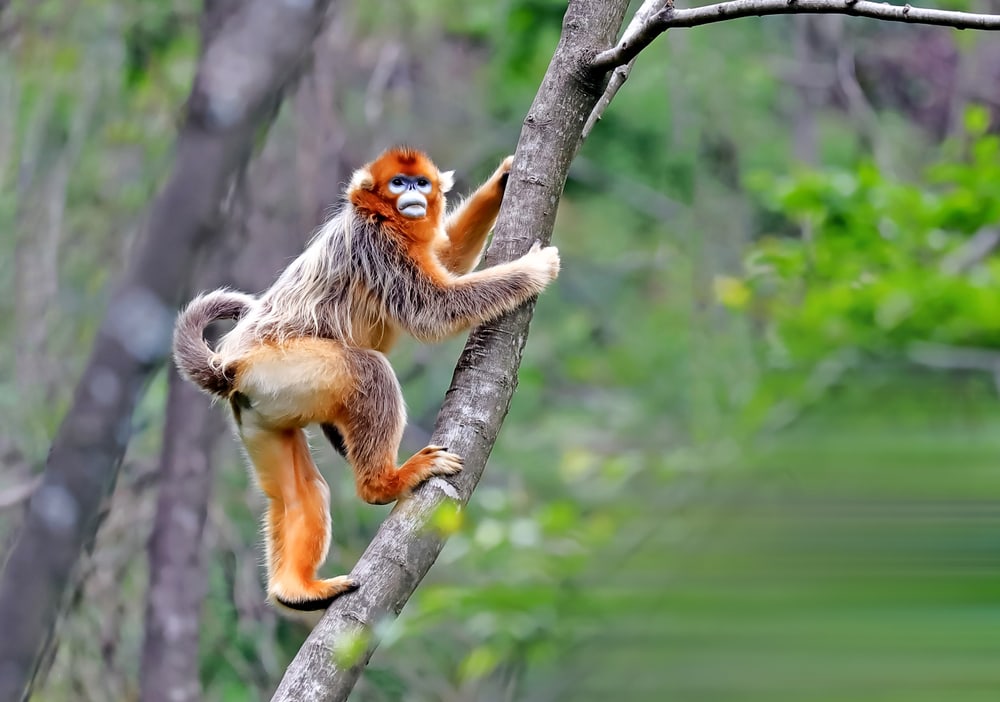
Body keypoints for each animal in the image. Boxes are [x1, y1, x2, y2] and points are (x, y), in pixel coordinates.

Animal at [173, 147, 560, 615]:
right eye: (398, 183)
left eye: (421, 183)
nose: (413, 195)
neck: (381, 216)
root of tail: (229, 366)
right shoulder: (377, 244)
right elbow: (435, 309)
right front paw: (533, 270)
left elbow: (446, 257)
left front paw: (503, 179)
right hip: (284, 368)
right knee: (369, 370)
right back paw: (384, 484)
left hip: (259, 415)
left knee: (299, 494)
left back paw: (295, 589)